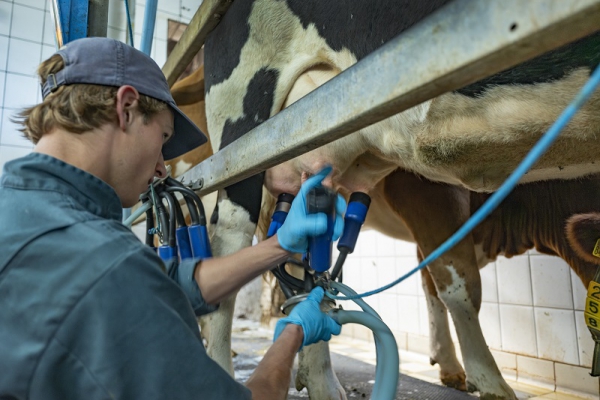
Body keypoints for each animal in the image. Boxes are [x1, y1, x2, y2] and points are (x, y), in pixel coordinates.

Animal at [202, 1, 600, 398]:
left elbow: (431, 283)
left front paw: (452, 367)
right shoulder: (429, 192)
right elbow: (459, 286)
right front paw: (490, 381)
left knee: (300, 259)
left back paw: (321, 379)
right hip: (243, 134)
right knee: (228, 246)